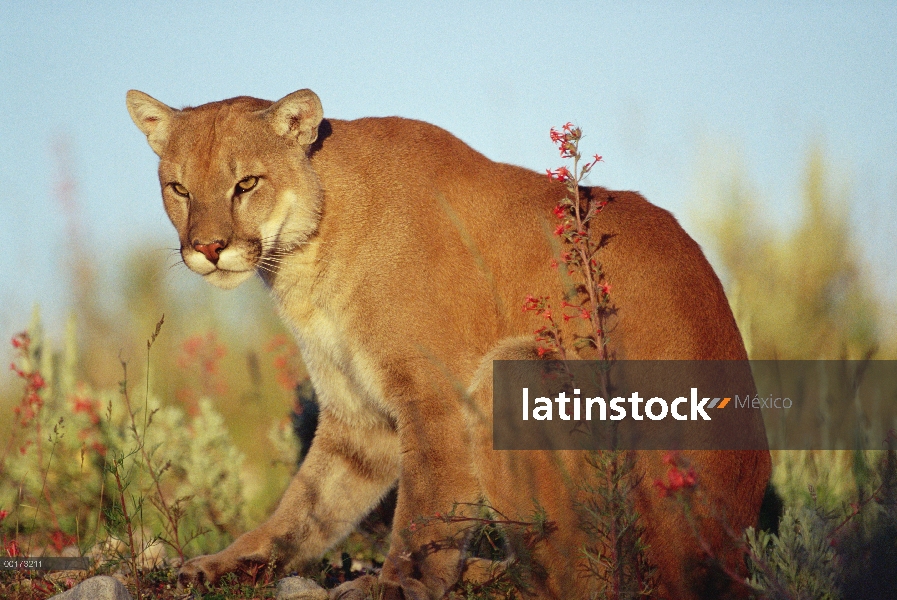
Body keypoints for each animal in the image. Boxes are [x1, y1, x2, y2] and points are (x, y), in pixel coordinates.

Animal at [126, 89, 768, 600]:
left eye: (247, 183)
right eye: (179, 188)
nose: (208, 248)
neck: (307, 250)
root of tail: (725, 555)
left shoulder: (437, 396)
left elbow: (424, 508)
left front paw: (396, 584)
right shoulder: (358, 415)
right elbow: (307, 505)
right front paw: (228, 563)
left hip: (519, 376)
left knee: (582, 582)